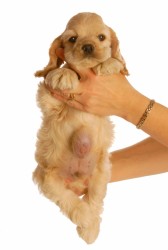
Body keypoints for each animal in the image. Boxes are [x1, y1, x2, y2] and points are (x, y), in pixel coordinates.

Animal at [32, 11, 128, 244]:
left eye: (101, 37)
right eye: (73, 39)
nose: (88, 46)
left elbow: (117, 62)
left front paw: (110, 64)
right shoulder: (49, 99)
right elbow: (54, 73)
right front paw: (64, 74)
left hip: (100, 175)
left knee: (94, 201)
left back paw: (90, 230)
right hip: (48, 178)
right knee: (71, 203)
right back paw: (86, 222)